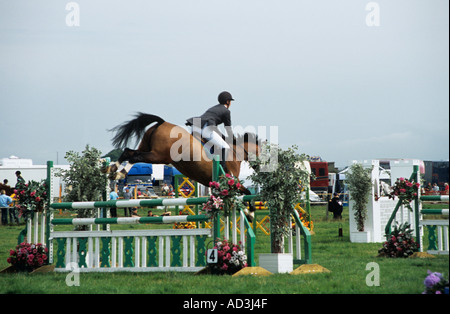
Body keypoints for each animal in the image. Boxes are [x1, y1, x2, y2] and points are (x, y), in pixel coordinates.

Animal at [102, 113, 262, 221]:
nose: (261, 170)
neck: (236, 153)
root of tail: (162, 123)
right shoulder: (232, 183)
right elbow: (247, 192)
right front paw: (251, 213)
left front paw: (248, 213)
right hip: (158, 156)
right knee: (134, 157)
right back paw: (120, 173)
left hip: (146, 147)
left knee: (128, 152)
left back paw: (112, 170)